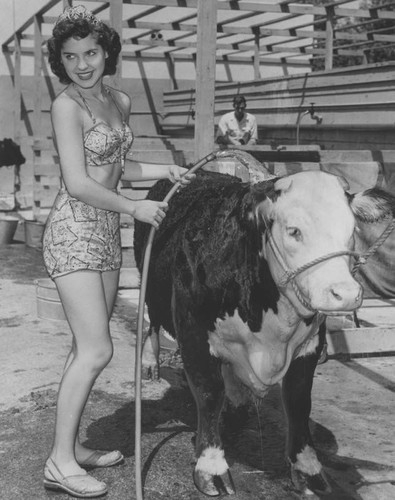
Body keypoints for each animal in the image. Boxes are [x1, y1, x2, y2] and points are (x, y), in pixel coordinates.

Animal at [133, 170, 392, 498]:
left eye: (351, 230)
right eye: (294, 231)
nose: (345, 295)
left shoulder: (310, 344)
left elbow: (298, 402)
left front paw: (308, 469)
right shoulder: (193, 331)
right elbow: (209, 394)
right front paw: (211, 466)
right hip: (152, 289)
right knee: (152, 321)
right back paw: (149, 362)